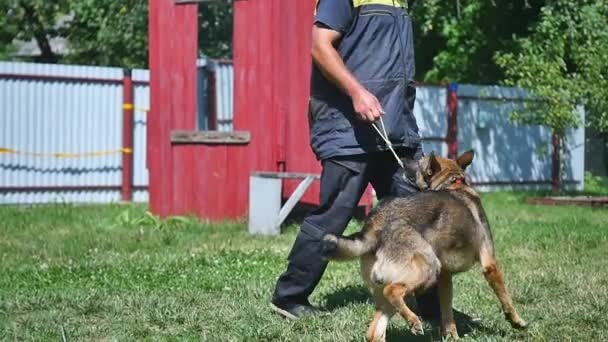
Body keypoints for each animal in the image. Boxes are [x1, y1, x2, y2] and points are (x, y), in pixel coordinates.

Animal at [324, 151, 528, 340]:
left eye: (418, 162)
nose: (402, 159)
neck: (452, 184)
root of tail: (373, 225)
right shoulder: (489, 265)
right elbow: (505, 298)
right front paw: (516, 321)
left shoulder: (445, 277)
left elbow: (447, 313)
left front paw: (452, 336)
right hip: (427, 269)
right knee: (392, 291)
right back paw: (414, 322)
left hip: (393, 290)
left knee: (375, 332)